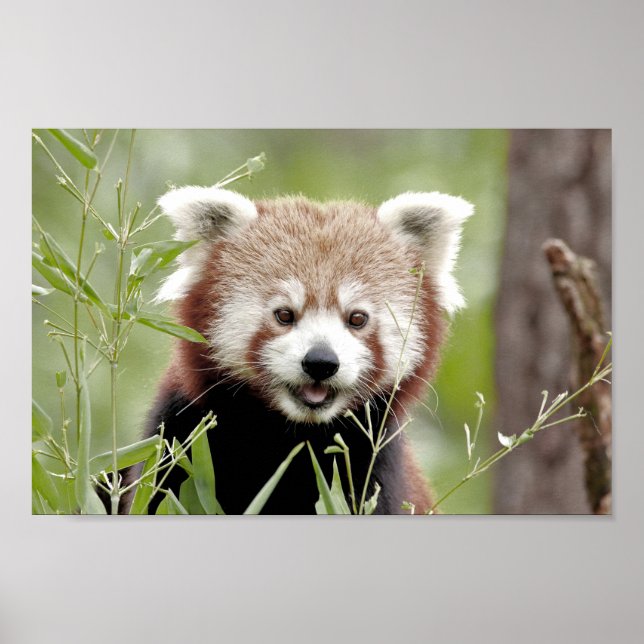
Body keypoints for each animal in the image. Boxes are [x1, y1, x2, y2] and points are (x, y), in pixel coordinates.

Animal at [119, 188, 473, 514]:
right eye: (285, 315)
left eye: (357, 318)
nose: (321, 362)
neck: (292, 438)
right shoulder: (180, 440)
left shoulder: (373, 470)